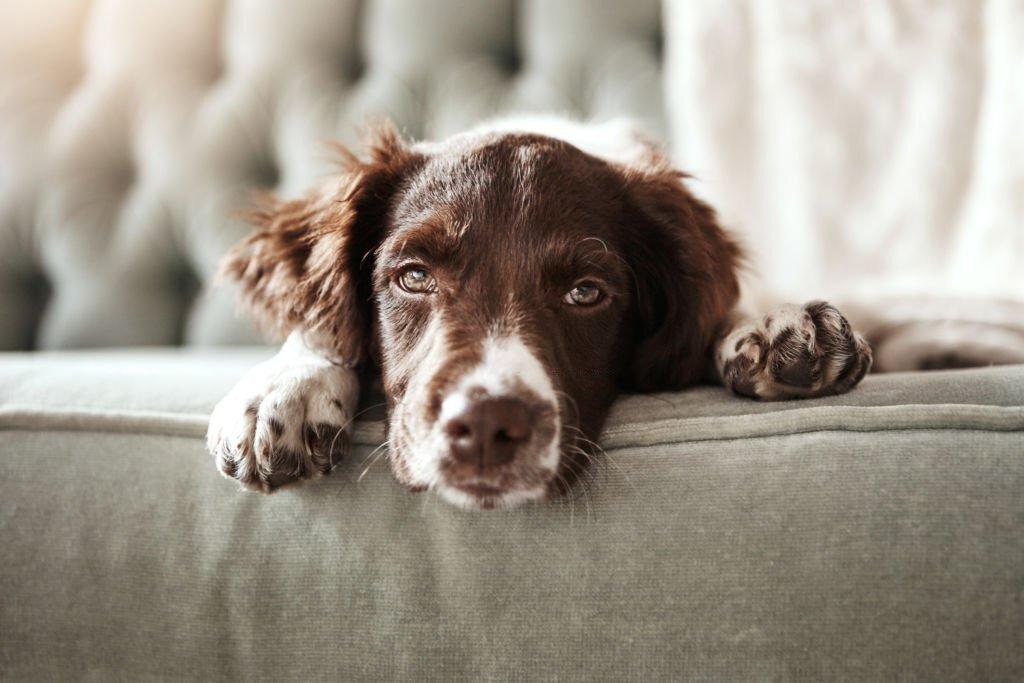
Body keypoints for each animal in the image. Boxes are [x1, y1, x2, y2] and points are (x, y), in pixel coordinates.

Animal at [205, 117, 872, 509]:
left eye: (586, 293)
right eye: (413, 277)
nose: (485, 426)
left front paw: (776, 328)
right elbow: (319, 325)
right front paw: (283, 389)